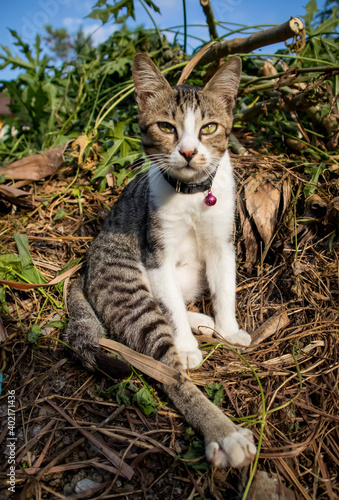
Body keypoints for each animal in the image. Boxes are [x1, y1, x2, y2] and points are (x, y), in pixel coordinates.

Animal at [63, 53, 256, 468]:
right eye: (167, 127)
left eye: (209, 128)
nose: (188, 152)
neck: (193, 195)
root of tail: (81, 276)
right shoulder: (157, 254)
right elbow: (170, 311)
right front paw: (185, 345)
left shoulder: (222, 241)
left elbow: (225, 288)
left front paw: (227, 327)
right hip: (130, 290)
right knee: (168, 367)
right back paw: (225, 434)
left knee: (178, 303)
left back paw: (205, 323)